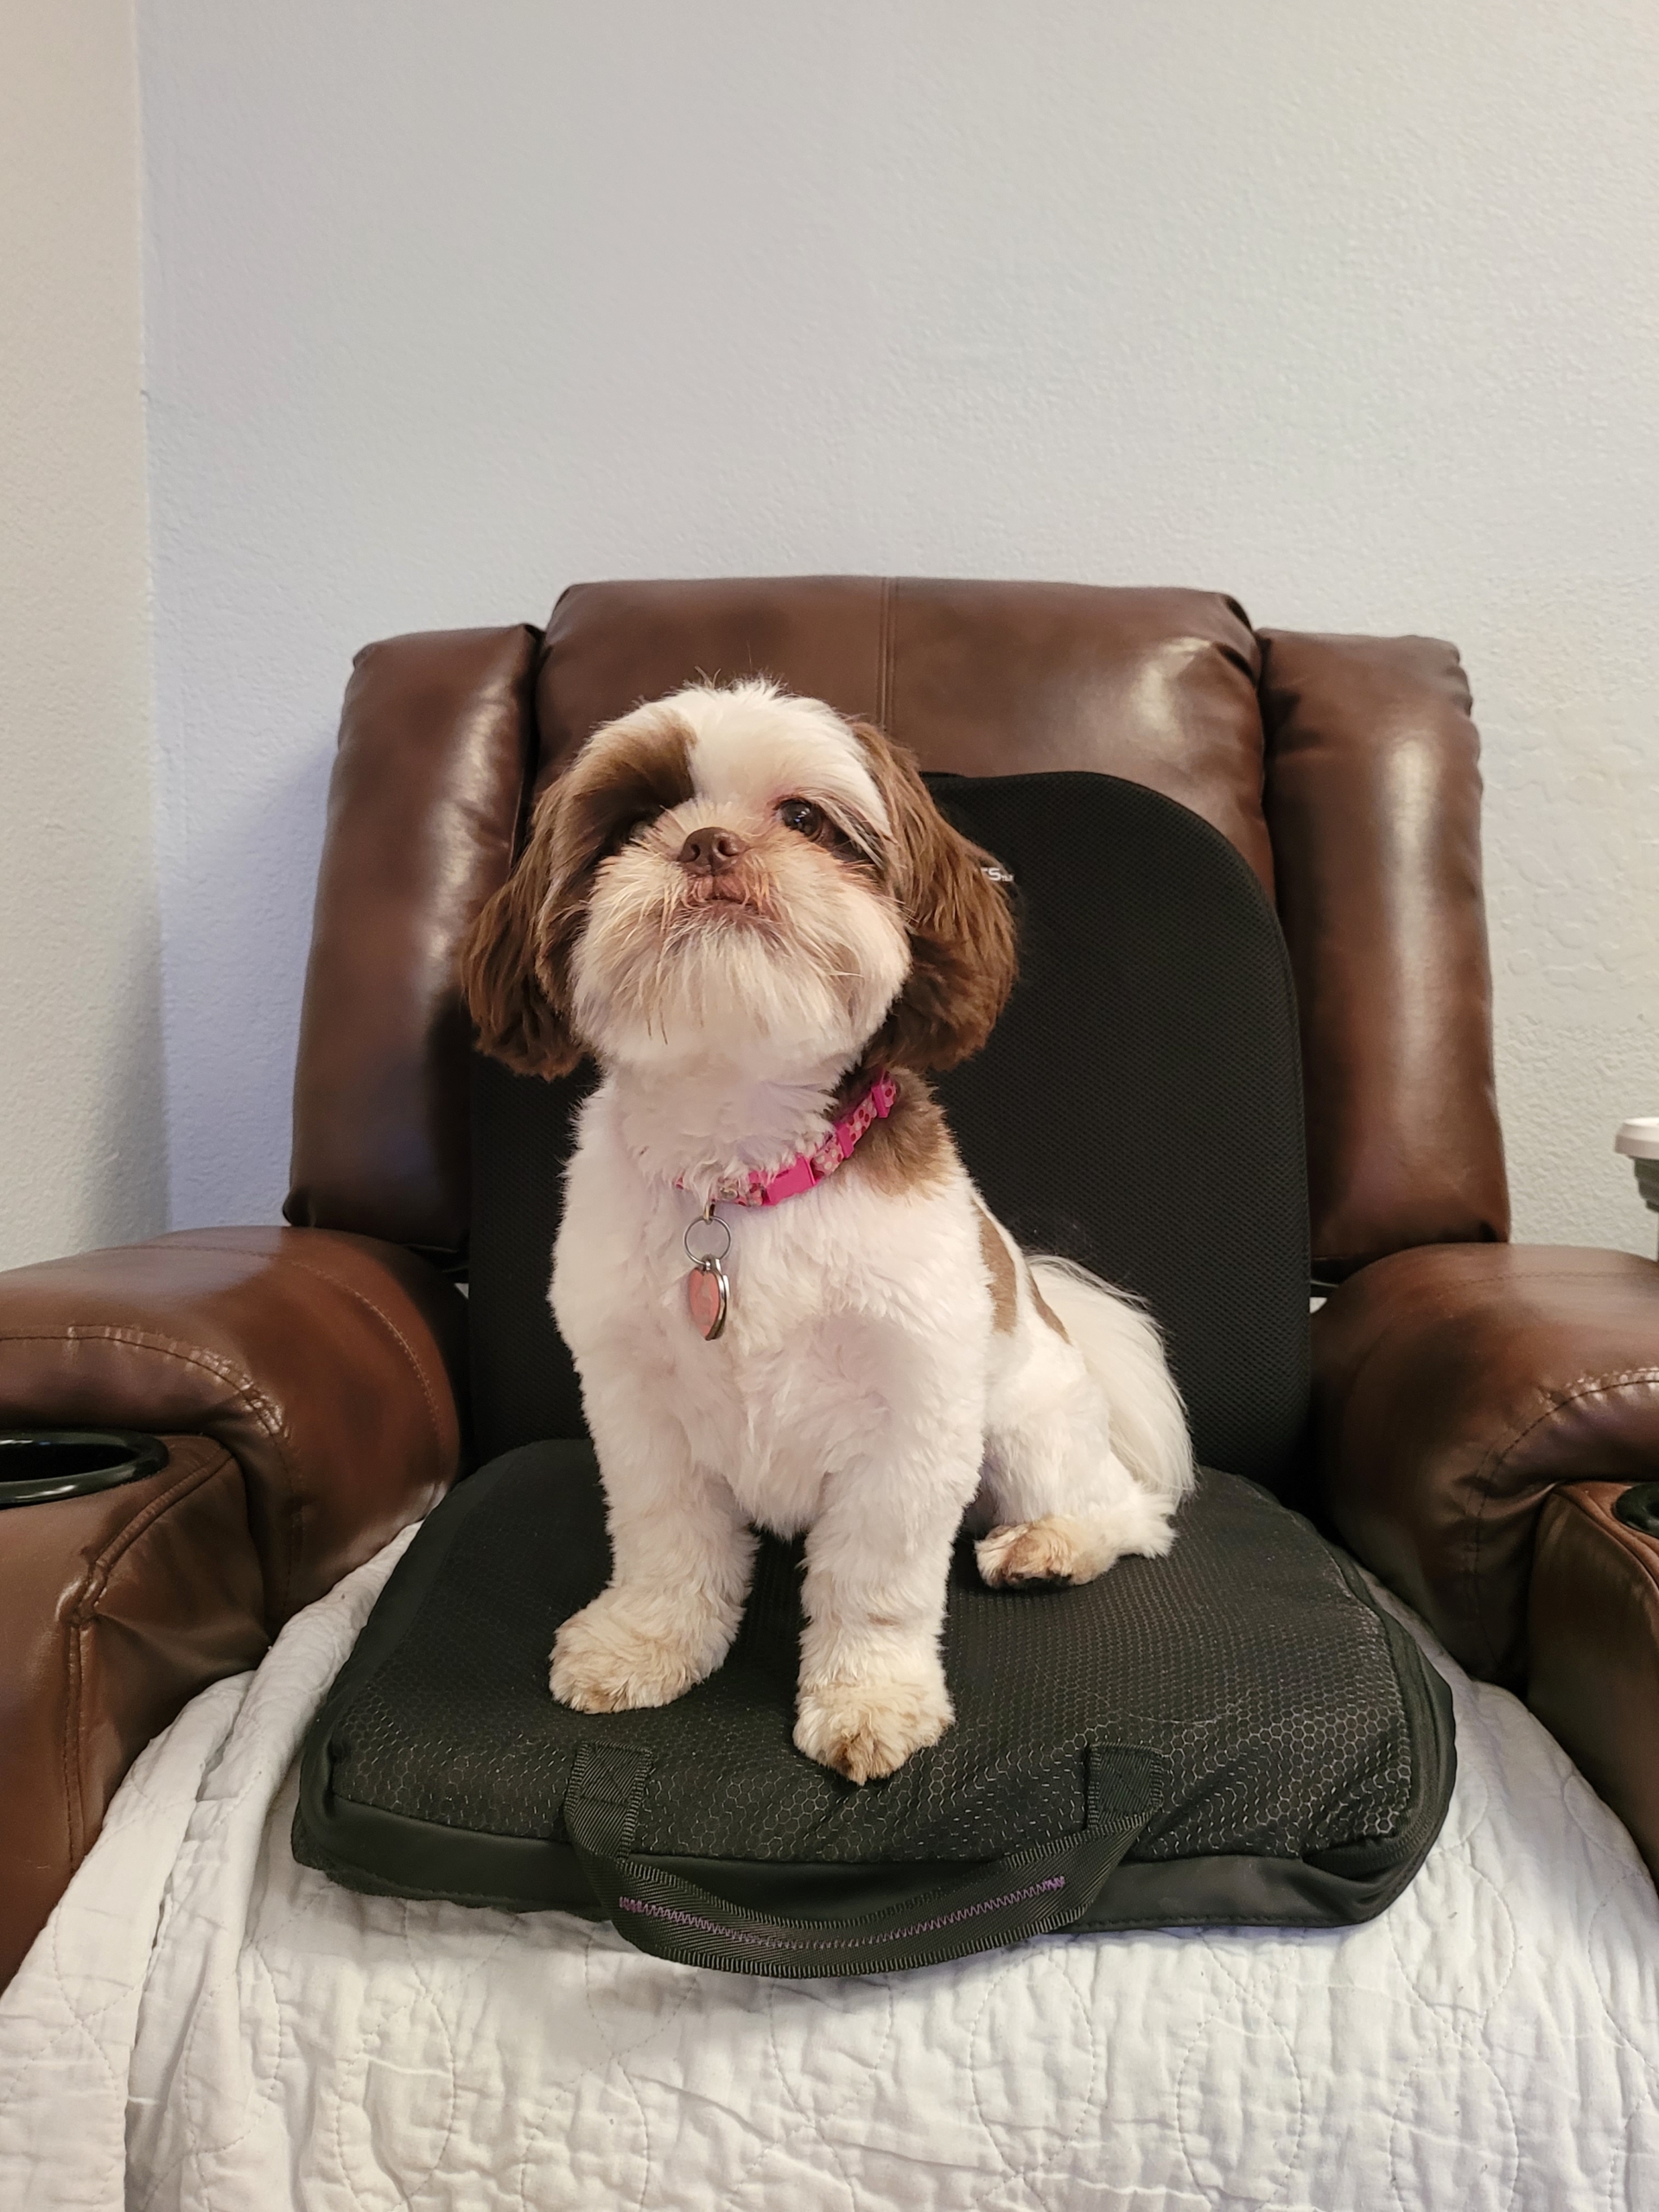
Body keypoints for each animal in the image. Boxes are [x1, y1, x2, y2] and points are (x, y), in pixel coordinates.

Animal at [468, 681, 1194, 1787]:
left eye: (806, 818)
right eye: (631, 824)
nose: (709, 842)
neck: (741, 1173)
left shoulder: (913, 1412)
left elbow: (876, 1581)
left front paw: (871, 1697)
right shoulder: (637, 1405)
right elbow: (666, 1539)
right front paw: (646, 1643)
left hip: (1025, 1429)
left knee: (1127, 1511)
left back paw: (1050, 1545)